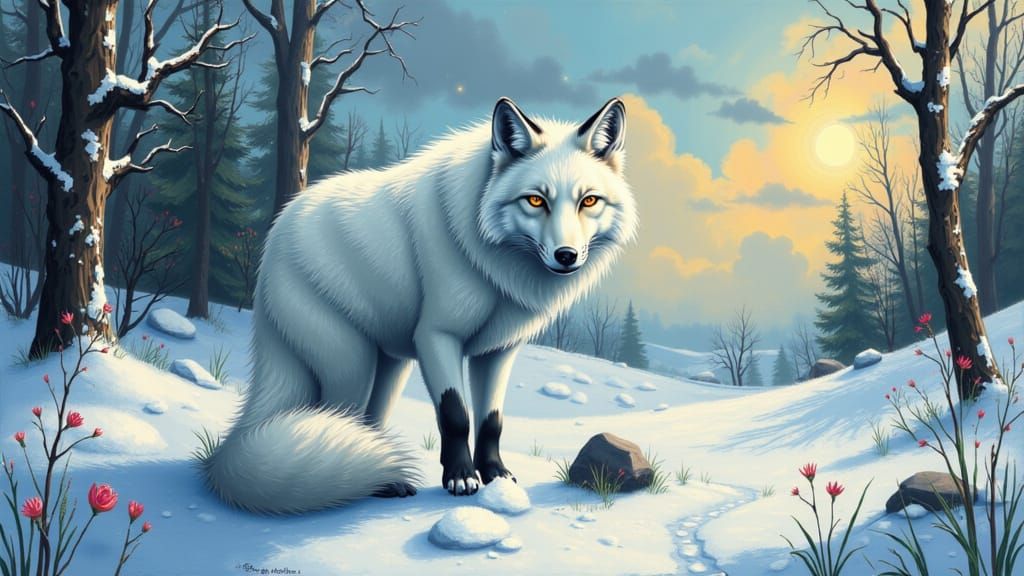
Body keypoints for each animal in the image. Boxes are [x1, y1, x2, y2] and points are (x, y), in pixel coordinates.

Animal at [203, 96, 637, 514]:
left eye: (589, 201)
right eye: (535, 200)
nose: (566, 256)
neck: (494, 267)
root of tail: (277, 233)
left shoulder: (498, 351)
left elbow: (492, 421)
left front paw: (494, 476)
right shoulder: (436, 336)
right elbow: (456, 415)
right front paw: (461, 478)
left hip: (389, 369)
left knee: (367, 423)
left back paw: (381, 478)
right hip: (352, 364)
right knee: (333, 421)